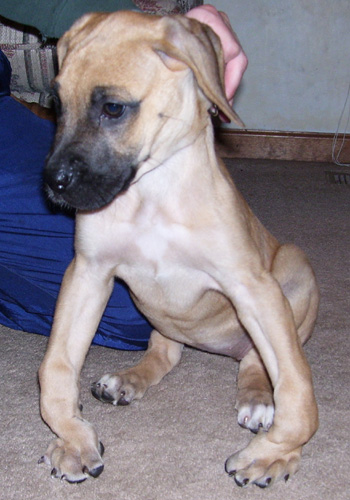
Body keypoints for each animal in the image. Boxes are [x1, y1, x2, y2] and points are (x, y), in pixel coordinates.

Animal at [39, 11, 320, 488]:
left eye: (113, 108)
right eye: (57, 103)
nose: (52, 184)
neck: (151, 193)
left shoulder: (252, 287)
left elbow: (296, 387)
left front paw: (276, 453)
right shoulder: (88, 273)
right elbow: (56, 367)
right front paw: (72, 438)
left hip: (294, 270)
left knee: (258, 362)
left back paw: (258, 397)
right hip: (160, 318)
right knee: (164, 352)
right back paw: (128, 379)